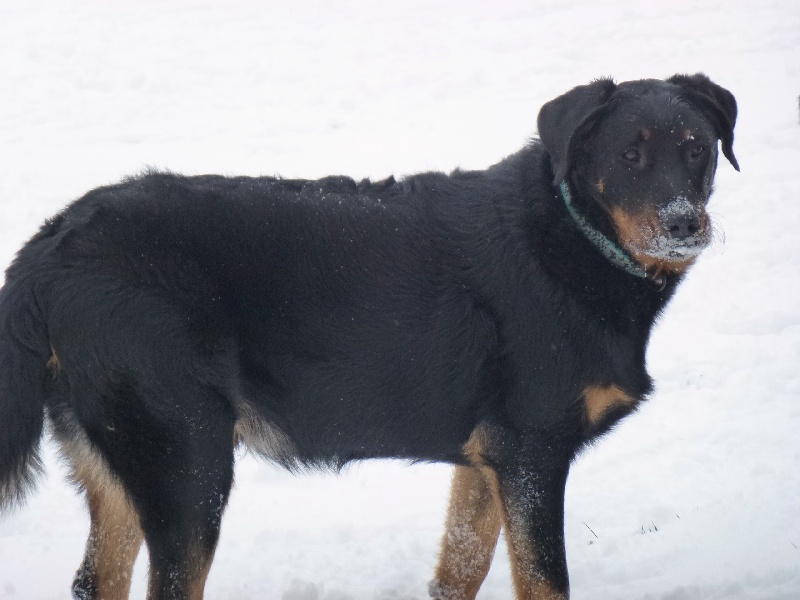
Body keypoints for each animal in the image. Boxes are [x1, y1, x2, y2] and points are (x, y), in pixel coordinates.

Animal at [0, 72, 736, 596]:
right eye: (629, 155)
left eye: (697, 150)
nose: (684, 223)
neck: (574, 236)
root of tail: (48, 248)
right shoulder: (533, 451)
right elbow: (545, 583)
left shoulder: (488, 459)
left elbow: (459, 569)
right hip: (186, 460)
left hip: (119, 457)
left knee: (96, 579)